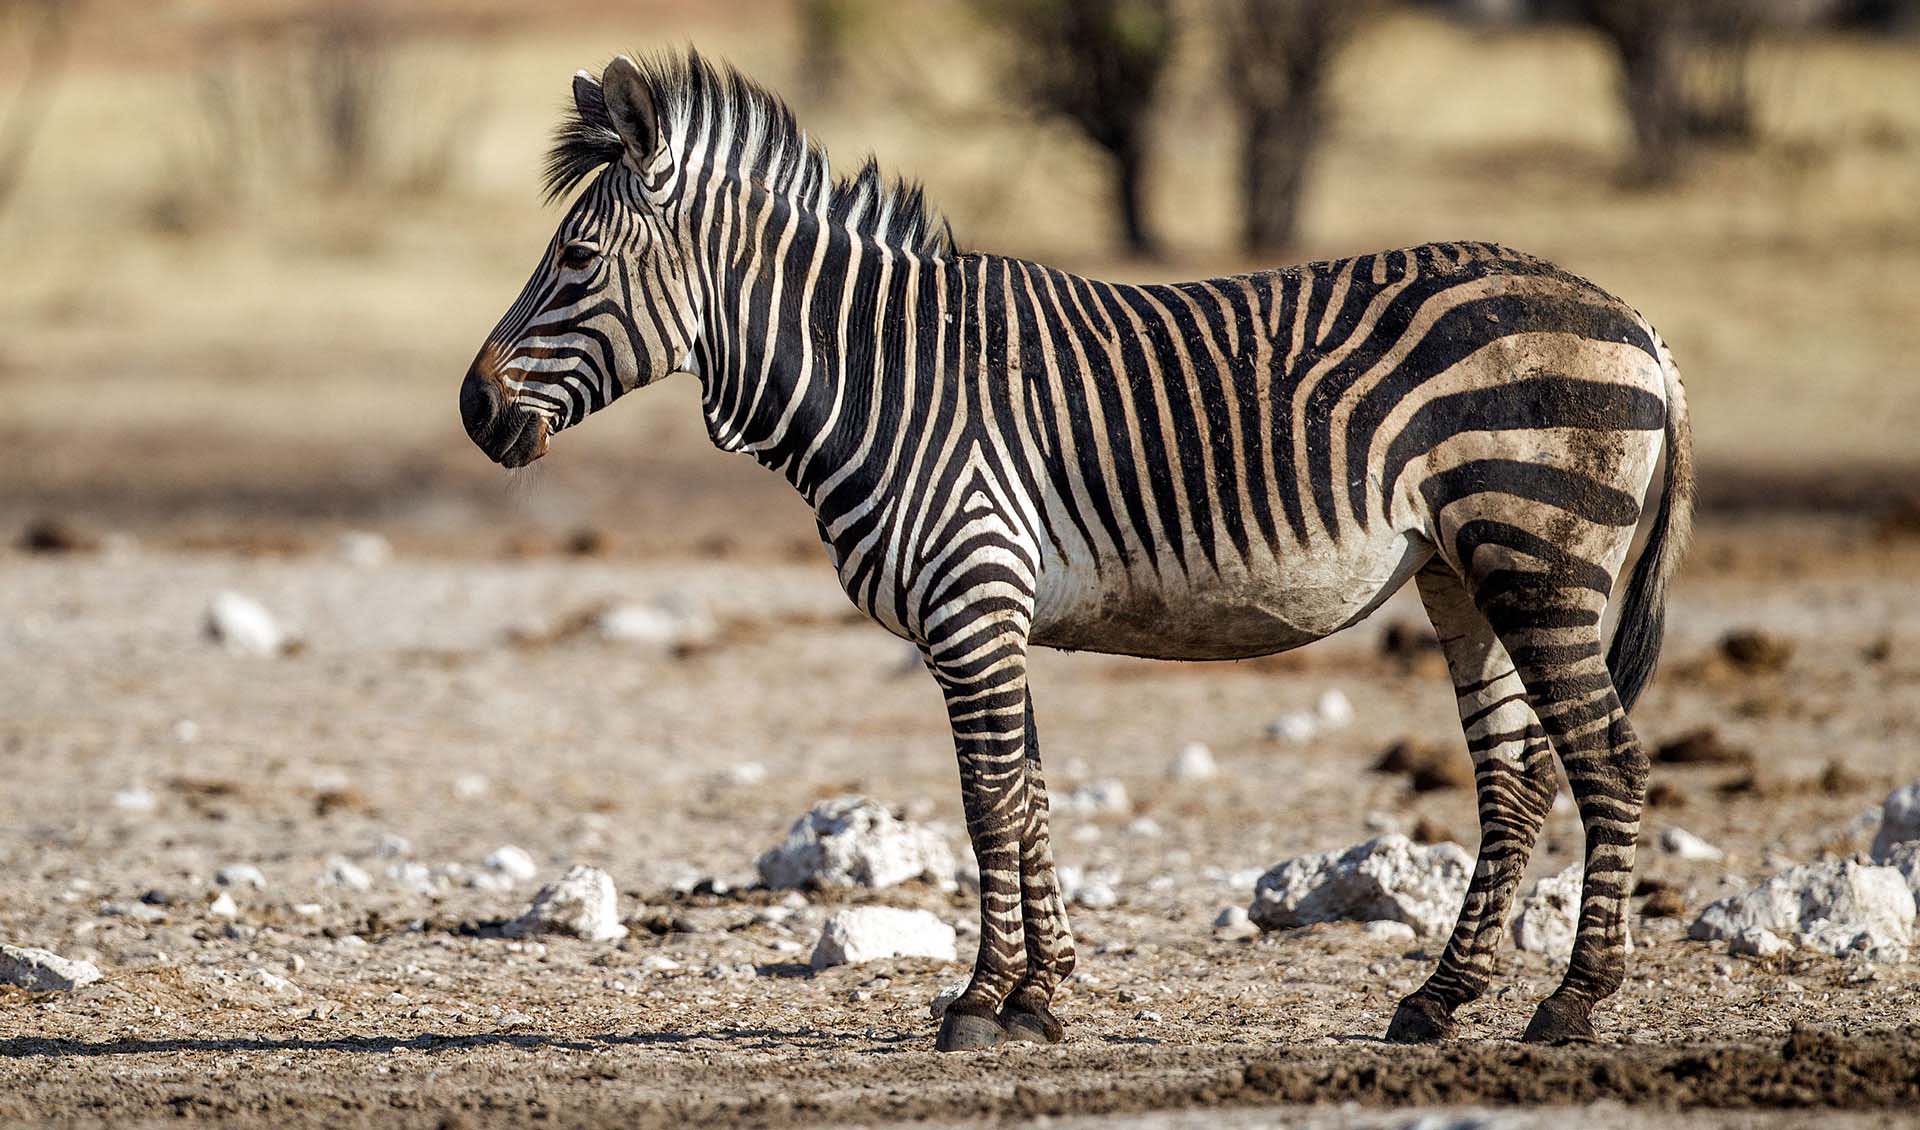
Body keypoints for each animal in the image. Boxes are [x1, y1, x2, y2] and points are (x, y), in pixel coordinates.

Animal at [460, 51, 1693, 1051]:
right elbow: (1033, 796)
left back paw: (1571, 1004)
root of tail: (1633, 317)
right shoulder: (994, 615)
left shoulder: (970, 603)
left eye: (576, 258)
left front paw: (978, 1002)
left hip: (1538, 557)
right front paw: (1039, 996)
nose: (474, 413)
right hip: (1460, 573)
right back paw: (1439, 1000)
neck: (883, 377)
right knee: (1513, 783)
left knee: (1609, 761)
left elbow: (989, 802)